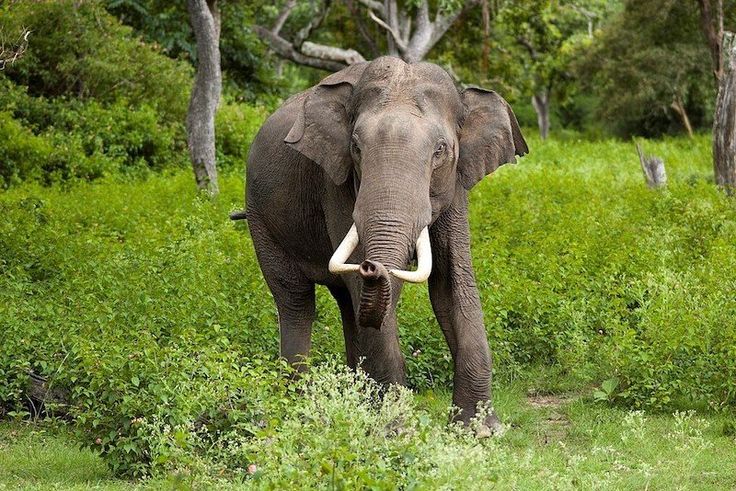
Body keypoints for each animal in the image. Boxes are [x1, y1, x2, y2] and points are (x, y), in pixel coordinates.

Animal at [233, 55, 528, 430]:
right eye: (356, 147)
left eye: (440, 150)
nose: (372, 266)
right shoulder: (336, 182)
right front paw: (394, 429)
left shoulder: (456, 183)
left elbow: (451, 283)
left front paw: (480, 431)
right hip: (260, 218)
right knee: (296, 301)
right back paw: (297, 404)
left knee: (347, 304)